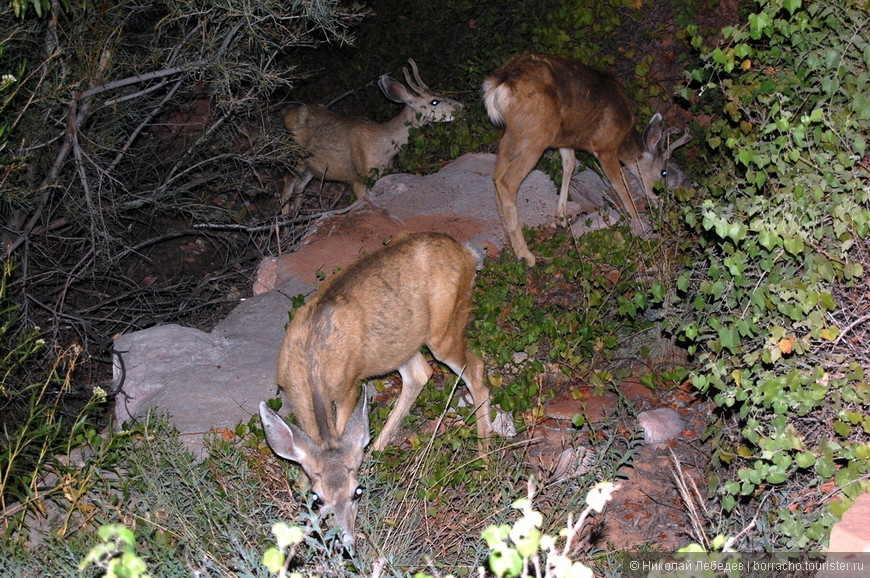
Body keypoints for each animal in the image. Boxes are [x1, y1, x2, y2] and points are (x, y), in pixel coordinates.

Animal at [255, 230, 494, 548]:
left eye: (357, 491)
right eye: (318, 499)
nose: (345, 539)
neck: (311, 367)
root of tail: (467, 254)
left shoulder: (350, 385)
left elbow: (344, 428)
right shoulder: (291, 392)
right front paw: (301, 486)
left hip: (445, 330)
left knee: (476, 370)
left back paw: (483, 459)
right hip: (401, 345)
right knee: (420, 374)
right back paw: (377, 450)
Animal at [282, 59, 466, 214]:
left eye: (440, 94)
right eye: (434, 101)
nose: (462, 107)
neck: (384, 145)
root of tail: (286, 117)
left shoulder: (380, 175)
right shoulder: (359, 176)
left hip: (311, 167)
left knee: (299, 187)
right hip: (296, 158)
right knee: (287, 185)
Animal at [480, 53, 692, 264]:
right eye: (664, 172)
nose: (661, 201)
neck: (623, 137)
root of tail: (501, 82)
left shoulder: (566, 138)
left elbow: (570, 165)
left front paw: (561, 217)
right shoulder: (605, 148)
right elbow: (620, 185)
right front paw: (637, 220)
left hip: (512, 133)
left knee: (497, 176)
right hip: (535, 133)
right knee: (507, 181)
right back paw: (526, 255)